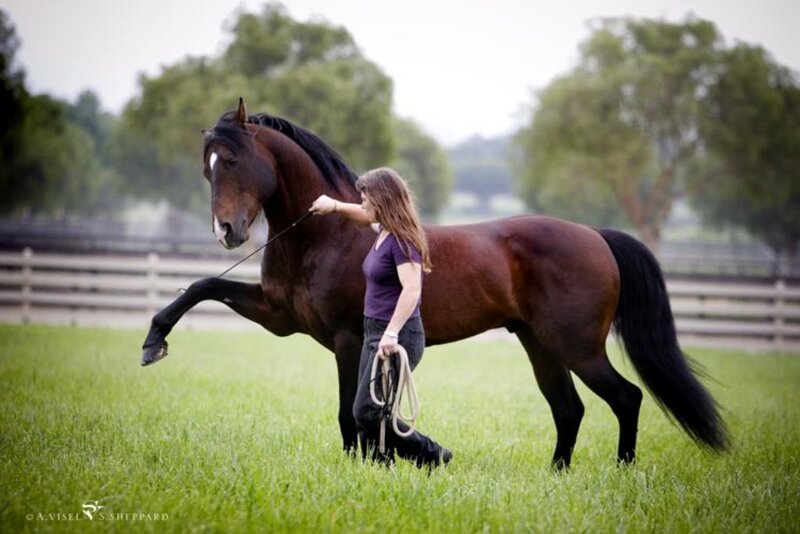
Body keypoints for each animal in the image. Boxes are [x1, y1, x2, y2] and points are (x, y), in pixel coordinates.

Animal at [141, 98, 728, 468]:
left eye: (233, 158)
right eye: (206, 168)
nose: (227, 231)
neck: (324, 234)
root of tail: (597, 237)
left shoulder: (351, 340)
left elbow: (352, 413)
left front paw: (369, 464)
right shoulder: (278, 316)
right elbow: (200, 286)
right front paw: (154, 341)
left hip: (578, 346)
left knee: (625, 398)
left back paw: (622, 470)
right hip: (541, 345)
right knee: (569, 408)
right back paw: (557, 473)